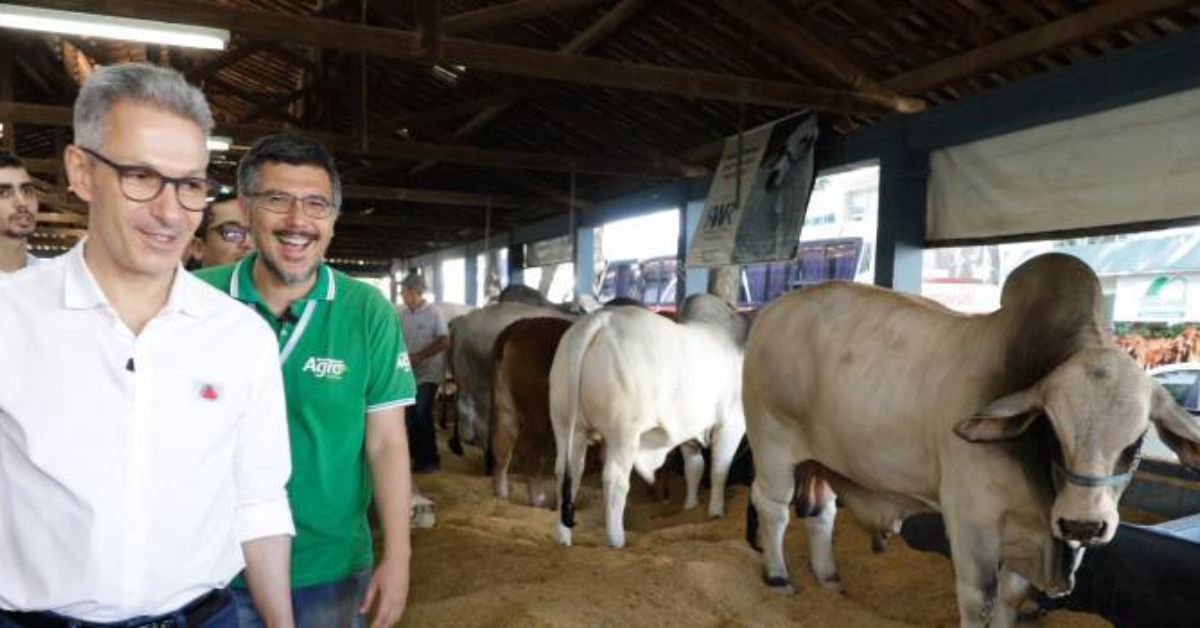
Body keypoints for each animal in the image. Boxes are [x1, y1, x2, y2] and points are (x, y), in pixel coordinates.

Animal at [552, 294, 748, 545]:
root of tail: (600, 320)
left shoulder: (688, 432)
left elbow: (694, 468)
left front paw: (690, 507)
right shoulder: (733, 421)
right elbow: (719, 468)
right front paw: (715, 512)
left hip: (567, 426)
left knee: (568, 474)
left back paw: (563, 539)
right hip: (623, 432)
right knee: (614, 480)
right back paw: (616, 540)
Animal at [739, 254, 1200, 628]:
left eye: (1137, 443)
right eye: (1052, 431)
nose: (1082, 524)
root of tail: (774, 309)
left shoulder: (1028, 535)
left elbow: (1011, 599)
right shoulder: (971, 521)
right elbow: (981, 600)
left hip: (822, 458)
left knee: (820, 512)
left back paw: (830, 582)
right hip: (772, 443)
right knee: (772, 507)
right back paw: (779, 579)